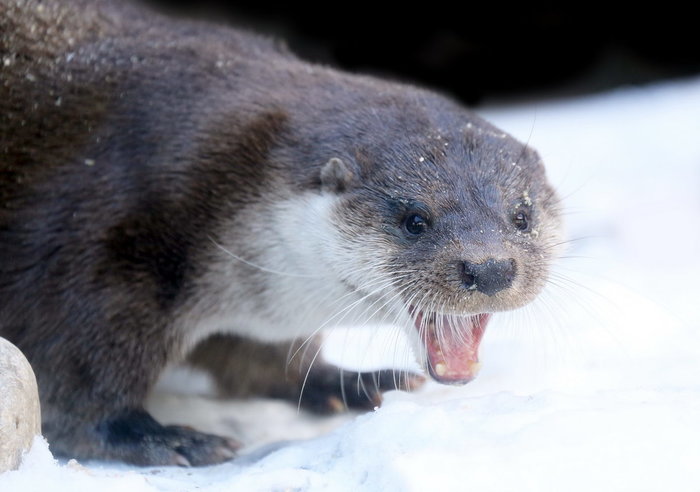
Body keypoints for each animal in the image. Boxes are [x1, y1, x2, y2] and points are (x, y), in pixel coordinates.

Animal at [0, 0, 564, 468]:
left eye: (521, 215)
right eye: (414, 220)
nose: (491, 267)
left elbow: (257, 361)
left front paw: (344, 382)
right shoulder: (97, 238)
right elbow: (73, 373)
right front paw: (155, 437)